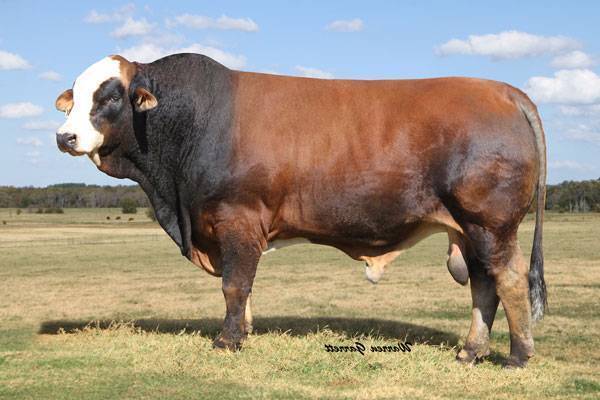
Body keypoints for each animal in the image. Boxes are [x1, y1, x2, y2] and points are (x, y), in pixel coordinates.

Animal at [55, 53, 547, 368]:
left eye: (110, 97)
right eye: (74, 97)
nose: (65, 137)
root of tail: (503, 91)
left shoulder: (238, 218)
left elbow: (235, 285)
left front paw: (227, 341)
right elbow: (243, 287)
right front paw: (243, 333)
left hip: (490, 222)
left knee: (508, 279)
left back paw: (518, 356)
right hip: (469, 229)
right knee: (483, 285)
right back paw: (470, 352)